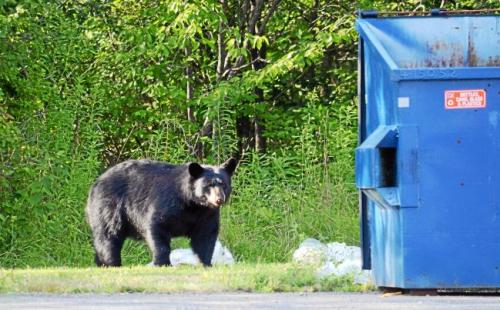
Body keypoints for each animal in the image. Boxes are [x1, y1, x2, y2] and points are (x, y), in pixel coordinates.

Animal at [85, 157, 237, 266]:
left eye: (223, 184)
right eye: (209, 184)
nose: (219, 199)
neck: (192, 204)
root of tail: (97, 182)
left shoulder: (206, 214)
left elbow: (205, 235)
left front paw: (205, 263)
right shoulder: (166, 203)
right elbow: (157, 227)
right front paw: (163, 263)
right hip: (110, 206)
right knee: (108, 234)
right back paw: (111, 263)